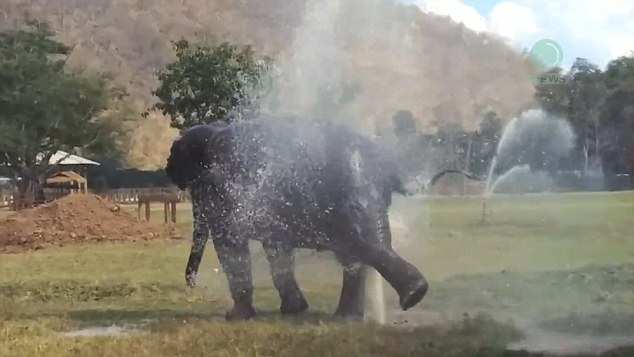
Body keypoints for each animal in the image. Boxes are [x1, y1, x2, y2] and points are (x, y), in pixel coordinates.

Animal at [165, 115, 428, 318]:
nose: (193, 285)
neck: (213, 130)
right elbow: (276, 248)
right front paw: (294, 310)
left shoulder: (225, 189)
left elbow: (231, 244)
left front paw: (236, 317)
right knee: (356, 254)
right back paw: (350, 316)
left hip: (352, 192)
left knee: (365, 243)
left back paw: (413, 295)